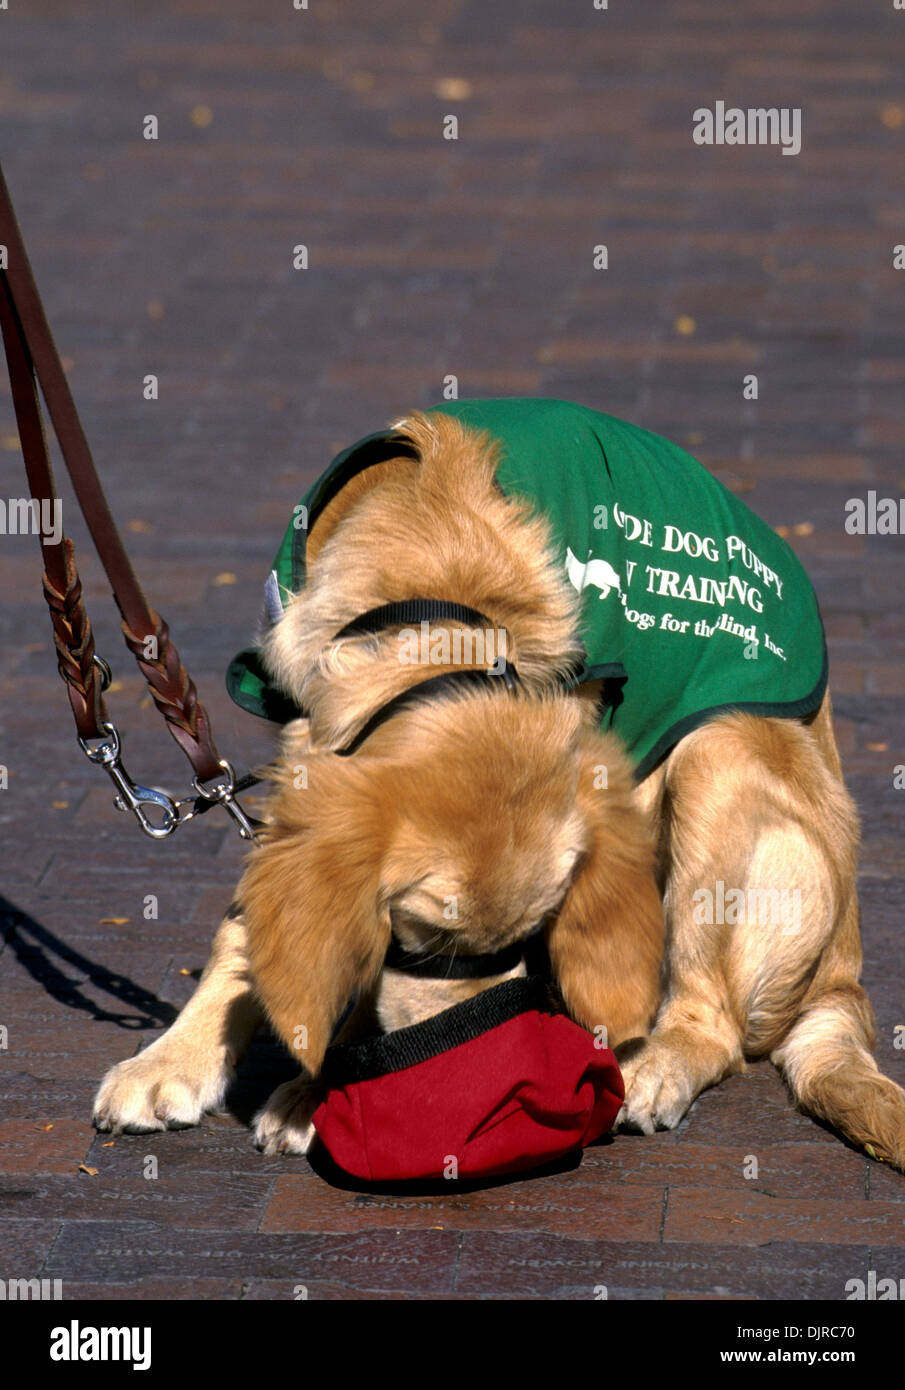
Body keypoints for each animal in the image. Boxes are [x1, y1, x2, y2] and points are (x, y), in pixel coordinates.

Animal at [95, 403, 905, 1173]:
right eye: (424, 937)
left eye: (530, 933)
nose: (473, 1083)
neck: (429, 584)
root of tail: (845, 983)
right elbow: (245, 931)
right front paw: (173, 1060)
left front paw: (311, 1089)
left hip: (719, 754)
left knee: (716, 1027)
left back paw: (655, 1064)